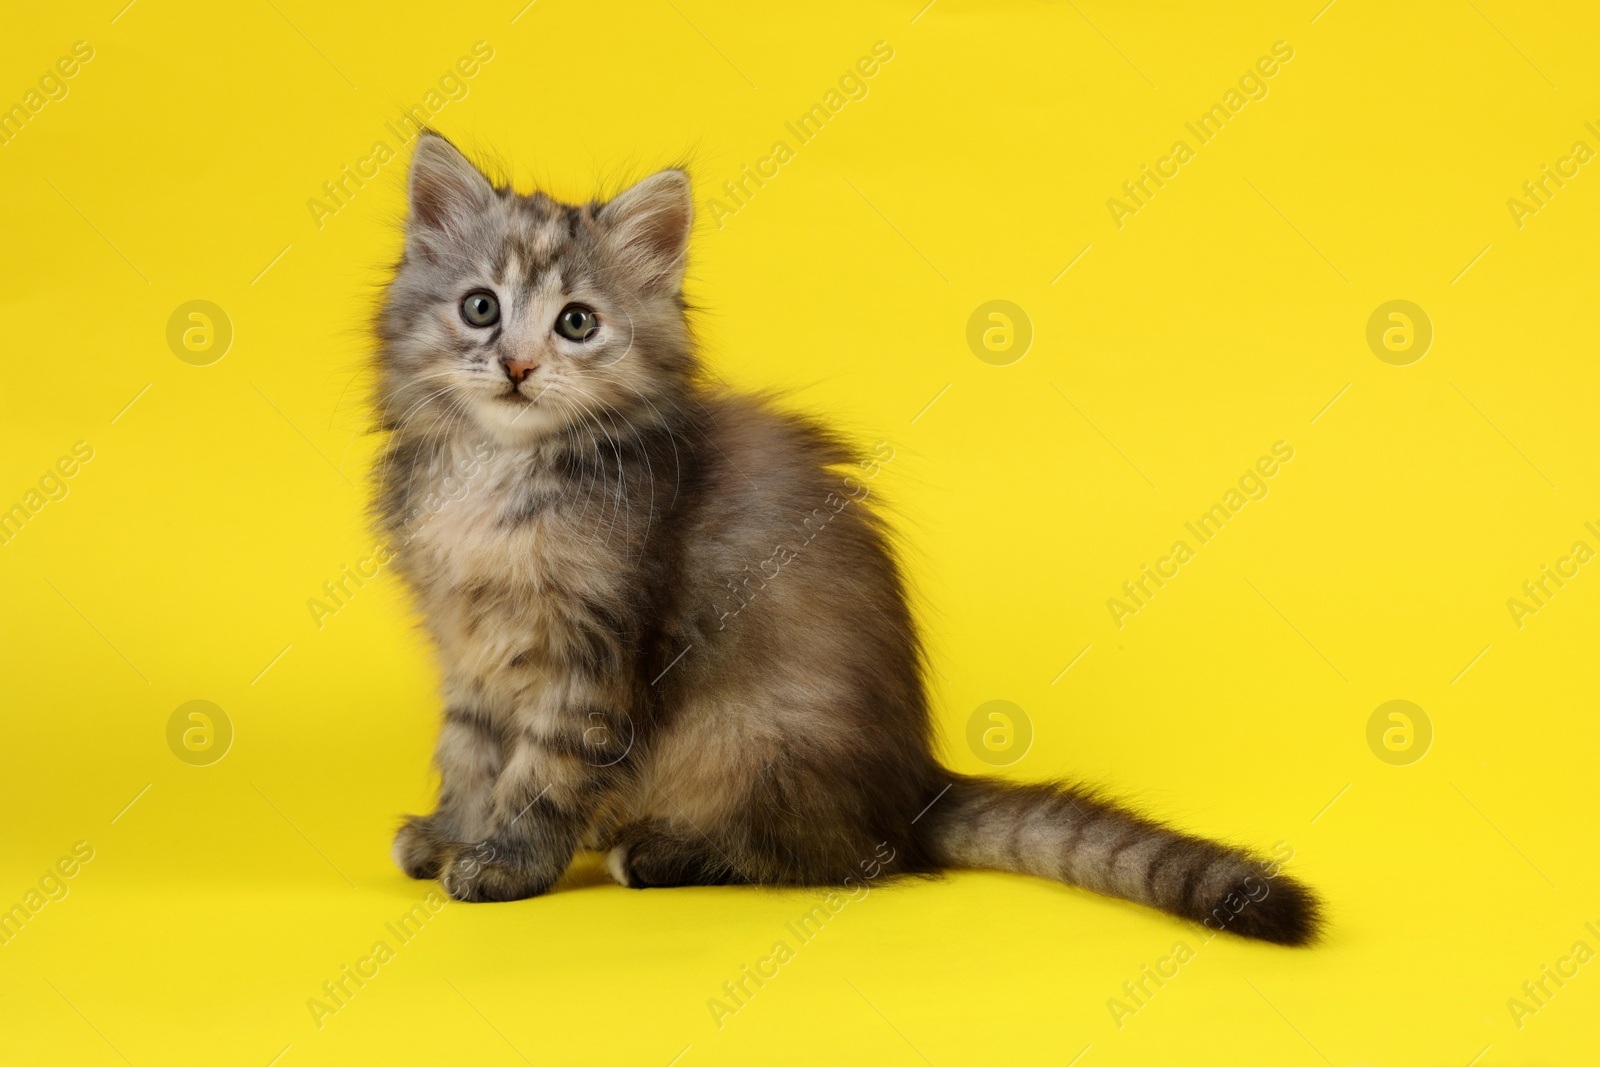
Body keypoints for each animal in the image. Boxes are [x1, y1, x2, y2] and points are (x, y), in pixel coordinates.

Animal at [374, 131, 1324, 940]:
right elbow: (471, 750)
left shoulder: (595, 647)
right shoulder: (468, 643)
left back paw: (661, 848)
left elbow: (542, 773)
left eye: (576, 322)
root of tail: (916, 788)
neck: (500, 471)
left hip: (753, 736)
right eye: (481, 308)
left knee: (840, 854)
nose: (517, 365)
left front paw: (505, 862)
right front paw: (452, 831)